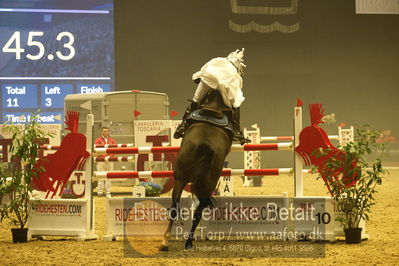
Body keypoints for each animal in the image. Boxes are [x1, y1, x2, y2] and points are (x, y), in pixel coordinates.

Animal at [159, 90, 234, 251]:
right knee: (198, 211)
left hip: (180, 179)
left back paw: (167, 241)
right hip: (205, 183)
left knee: (175, 208)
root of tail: (205, 143)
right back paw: (187, 241)